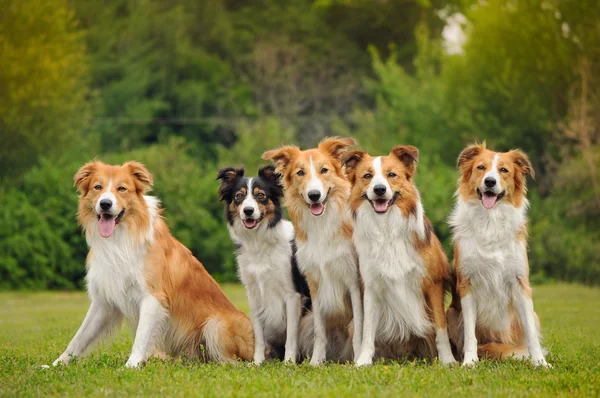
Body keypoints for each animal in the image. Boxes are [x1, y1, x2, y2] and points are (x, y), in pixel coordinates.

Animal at [52, 161, 255, 366]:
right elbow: (78, 339)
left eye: (122, 188)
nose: (105, 204)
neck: (120, 239)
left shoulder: (152, 297)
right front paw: (56, 365)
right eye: (97, 187)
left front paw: (131, 365)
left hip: (216, 324)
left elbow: (141, 338)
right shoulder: (104, 301)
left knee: (233, 362)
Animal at [217, 164, 312, 364]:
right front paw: (257, 362)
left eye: (261, 195)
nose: (248, 211)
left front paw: (289, 362)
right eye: (239, 196)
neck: (259, 242)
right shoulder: (253, 294)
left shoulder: (292, 294)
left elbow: (291, 336)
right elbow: (259, 336)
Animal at [264, 136, 366, 364]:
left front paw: (358, 360)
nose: (314, 195)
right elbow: (320, 330)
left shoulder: (354, 281)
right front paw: (316, 362)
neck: (322, 225)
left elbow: (358, 328)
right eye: (300, 172)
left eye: (324, 170)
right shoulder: (315, 282)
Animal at [342, 145, 454, 366]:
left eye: (392, 175)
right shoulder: (371, 286)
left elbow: (440, 328)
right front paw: (363, 361)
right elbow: (368, 330)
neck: (387, 228)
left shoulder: (433, 284)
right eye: (367, 176)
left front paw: (448, 360)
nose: (379, 189)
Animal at [448, 142, 552, 366]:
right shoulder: (467, 284)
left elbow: (531, 334)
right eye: (481, 167)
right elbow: (470, 334)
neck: (490, 220)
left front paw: (540, 362)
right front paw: (470, 361)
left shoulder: (520, 283)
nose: (490, 181)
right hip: (451, 313)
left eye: (503, 170)